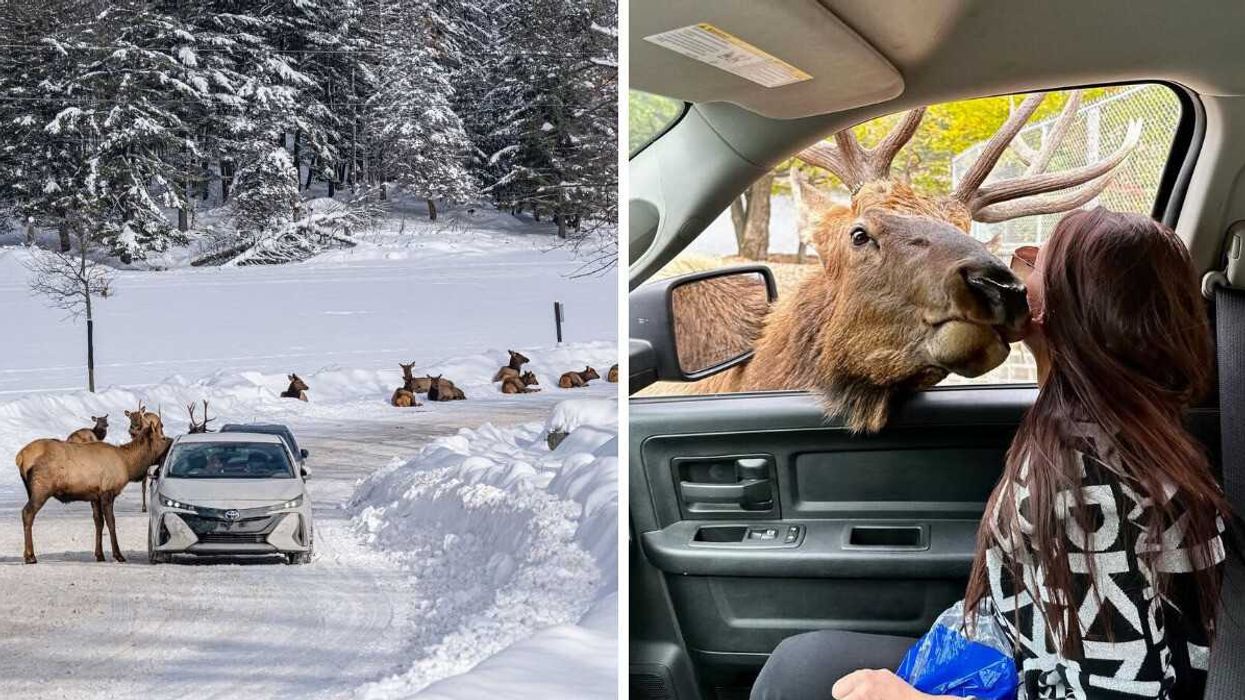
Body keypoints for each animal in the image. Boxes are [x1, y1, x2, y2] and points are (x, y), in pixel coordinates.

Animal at [15, 420, 172, 564]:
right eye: (163, 437)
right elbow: (111, 523)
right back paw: (30, 556)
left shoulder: (94, 496)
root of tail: (20, 457)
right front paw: (118, 555)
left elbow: (99, 523)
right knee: (27, 513)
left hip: (32, 490)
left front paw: (99, 555)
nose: (172, 441)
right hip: (41, 489)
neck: (129, 465)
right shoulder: (107, 492)